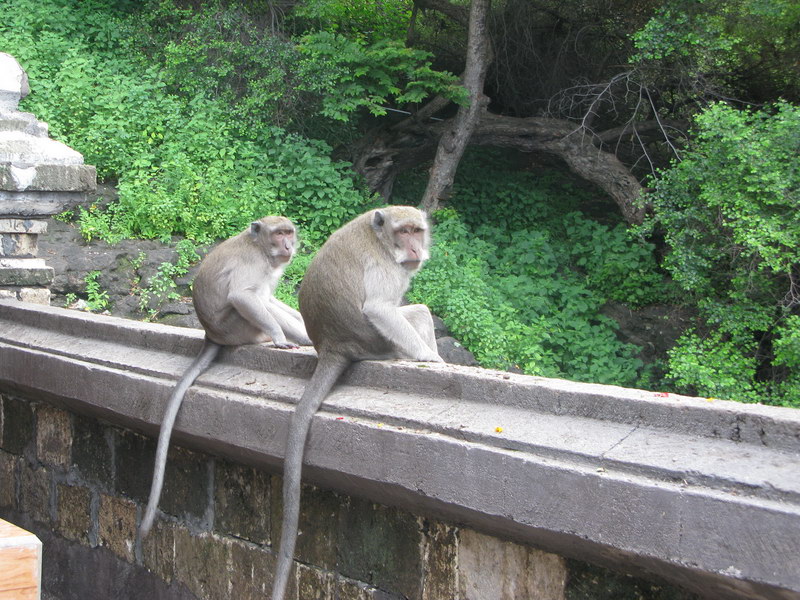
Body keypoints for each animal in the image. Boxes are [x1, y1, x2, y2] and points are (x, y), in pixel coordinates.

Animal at [272, 206, 440, 600]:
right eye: (404, 232)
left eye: (417, 230)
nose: (414, 248)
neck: (382, 238)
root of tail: (333, 345)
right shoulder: (384, 268)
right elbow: (379, 308)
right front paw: (430, 358)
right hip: (379, 345)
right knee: (405, 316)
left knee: (419, 313)